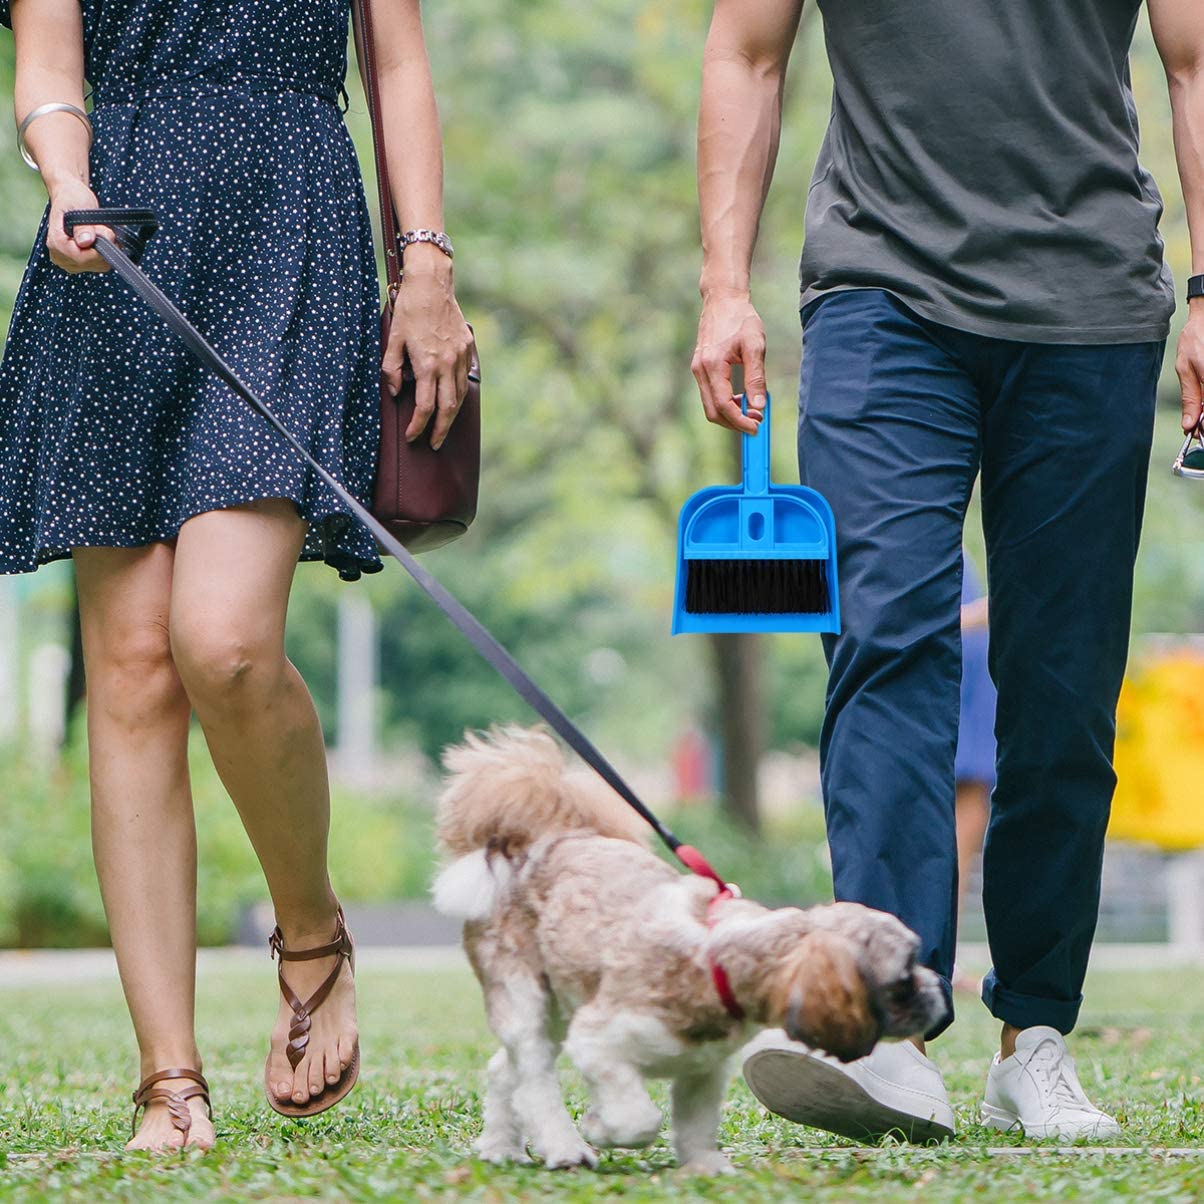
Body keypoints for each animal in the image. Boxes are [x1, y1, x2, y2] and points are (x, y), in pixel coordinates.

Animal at [433, 727, 948, 1170]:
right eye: (903, 977)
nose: (938, 994)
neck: (714, 958)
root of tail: (530, 845)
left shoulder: (703, 1071)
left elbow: (696, 1125)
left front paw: (704, 1167)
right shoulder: (598, 1039)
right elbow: (639, 1118)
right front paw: (601, 1127)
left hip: (559, 1004)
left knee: (506, 1070)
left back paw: (501, 1148)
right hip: (526, 997)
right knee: (535, 1077)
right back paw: (565, 1147)